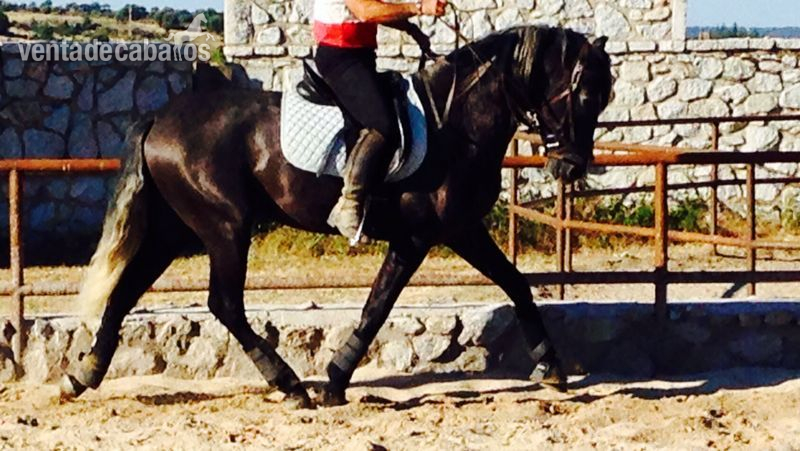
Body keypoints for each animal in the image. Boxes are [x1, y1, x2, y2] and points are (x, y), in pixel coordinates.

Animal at [60, 25, 613, 408]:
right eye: (586, 94)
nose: (570, 167)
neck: (454, 124)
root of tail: (160, 118)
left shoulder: (460, 229)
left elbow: (515, 283)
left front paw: (552, 366)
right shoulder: (421, 236)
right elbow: (377, 308)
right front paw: (334, 379)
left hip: (175, 231)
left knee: (125, 292)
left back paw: (81, 376)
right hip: (224, 226)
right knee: (224, 304)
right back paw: (288, 385)